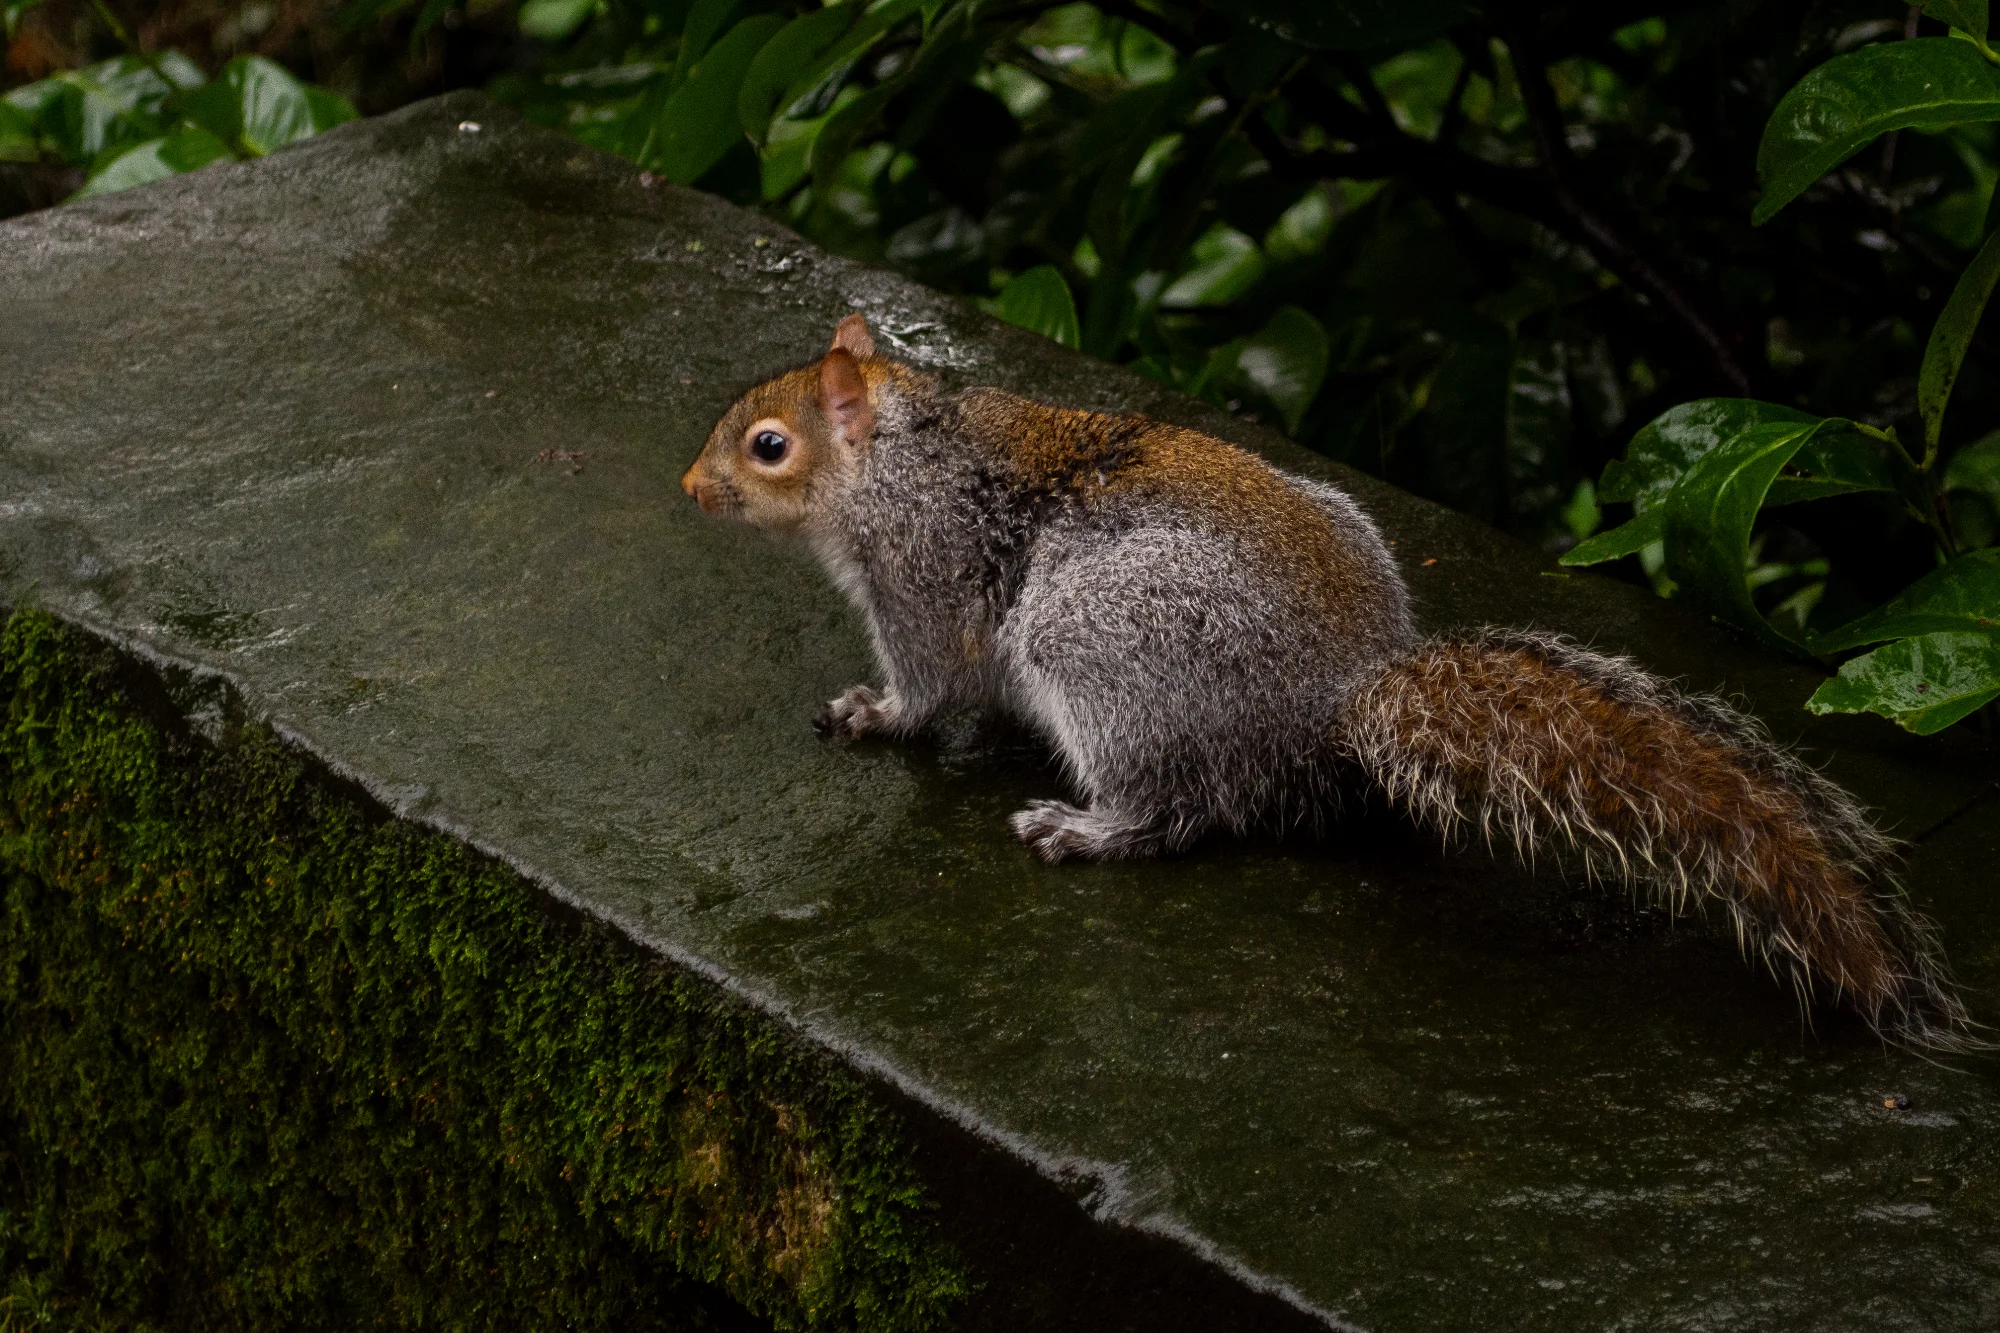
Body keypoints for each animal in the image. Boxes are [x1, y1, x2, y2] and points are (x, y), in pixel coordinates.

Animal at [682, 313, 1978, 1052]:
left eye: (767, 447)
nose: (689, 488)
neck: (898, 451)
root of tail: (1336, 697)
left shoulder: (920, 573)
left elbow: (927, 683)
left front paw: (873, 713)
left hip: (1102, 640)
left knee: (1178, 804)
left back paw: (1088, 827)